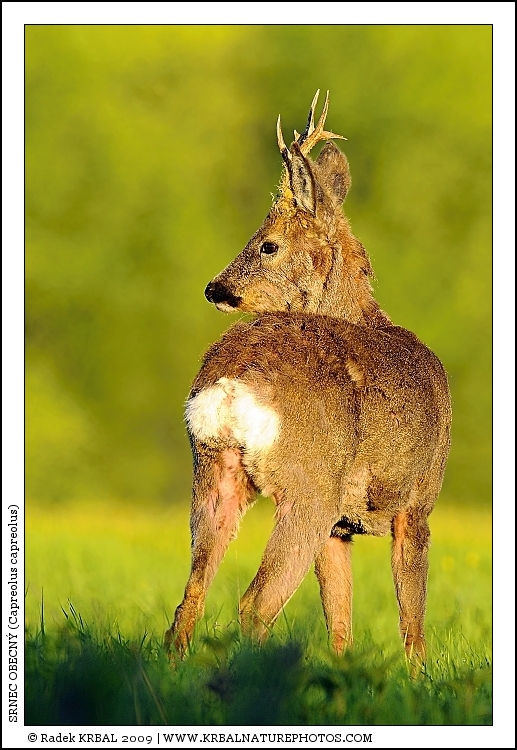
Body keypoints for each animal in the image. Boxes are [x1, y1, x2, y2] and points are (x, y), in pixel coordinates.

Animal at [165, 91, 451, 669]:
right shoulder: (417, 502)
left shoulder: (341, 528)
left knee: (191, 593)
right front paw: (418, 679)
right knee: (254, 602)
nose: (215, 288)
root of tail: (233, 379)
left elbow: (340, 621)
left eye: (268, 244)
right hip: (309, 486)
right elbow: (412, 617)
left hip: (215, 471)